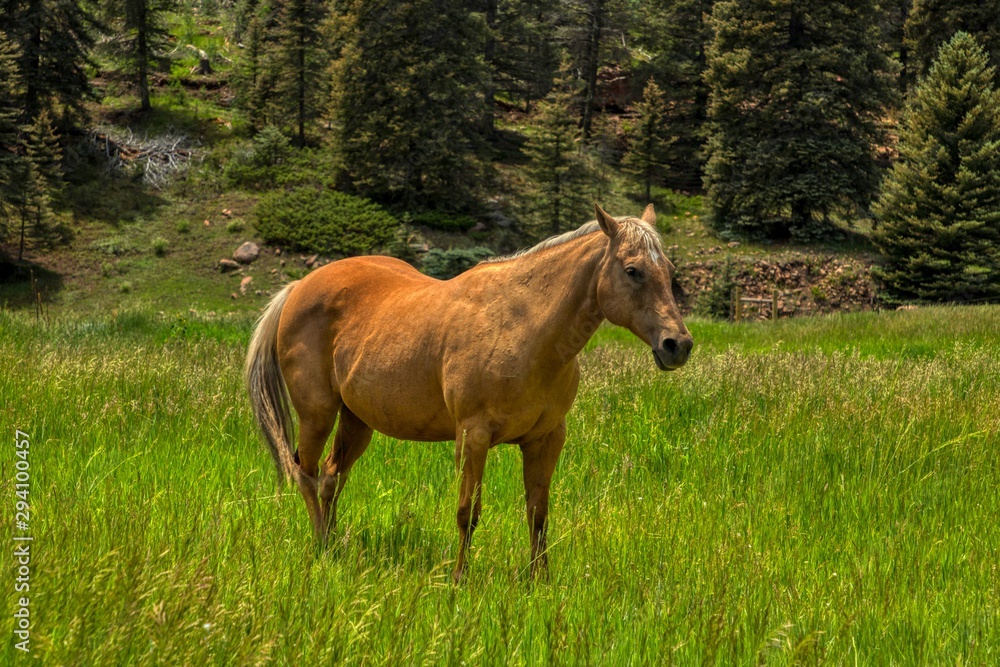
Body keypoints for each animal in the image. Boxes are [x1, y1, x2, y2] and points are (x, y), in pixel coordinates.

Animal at [245, 203, 693, 581]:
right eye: (633, 270)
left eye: (669, 270)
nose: (678, 345)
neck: (524, 328)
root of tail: (300, 286)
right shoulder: (473, 436)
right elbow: (467, 512)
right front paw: (459, 578)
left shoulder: (546, 439)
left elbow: (538, 513)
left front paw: (540, 581)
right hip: (317, 414)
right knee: (307, 476)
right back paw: (322, 548)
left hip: (357, 421)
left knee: (332, 478)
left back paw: (337, 545)